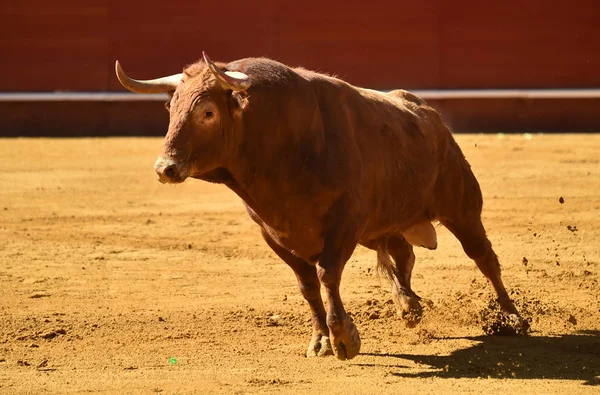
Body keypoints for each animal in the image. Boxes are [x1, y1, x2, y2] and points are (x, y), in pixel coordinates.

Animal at [115, 52, 528, 362]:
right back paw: (408, 306)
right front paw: (321, 341)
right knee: (403, 254)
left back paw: (512, 318)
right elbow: (307, 284)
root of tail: (430, 116)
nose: (165, 168)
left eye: (207, 113)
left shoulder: (345, 222)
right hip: (386, 222)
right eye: (171, 109)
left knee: (483, 257)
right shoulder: (274, 234)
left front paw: (345, 336)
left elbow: (328, 274)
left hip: (462, 208)